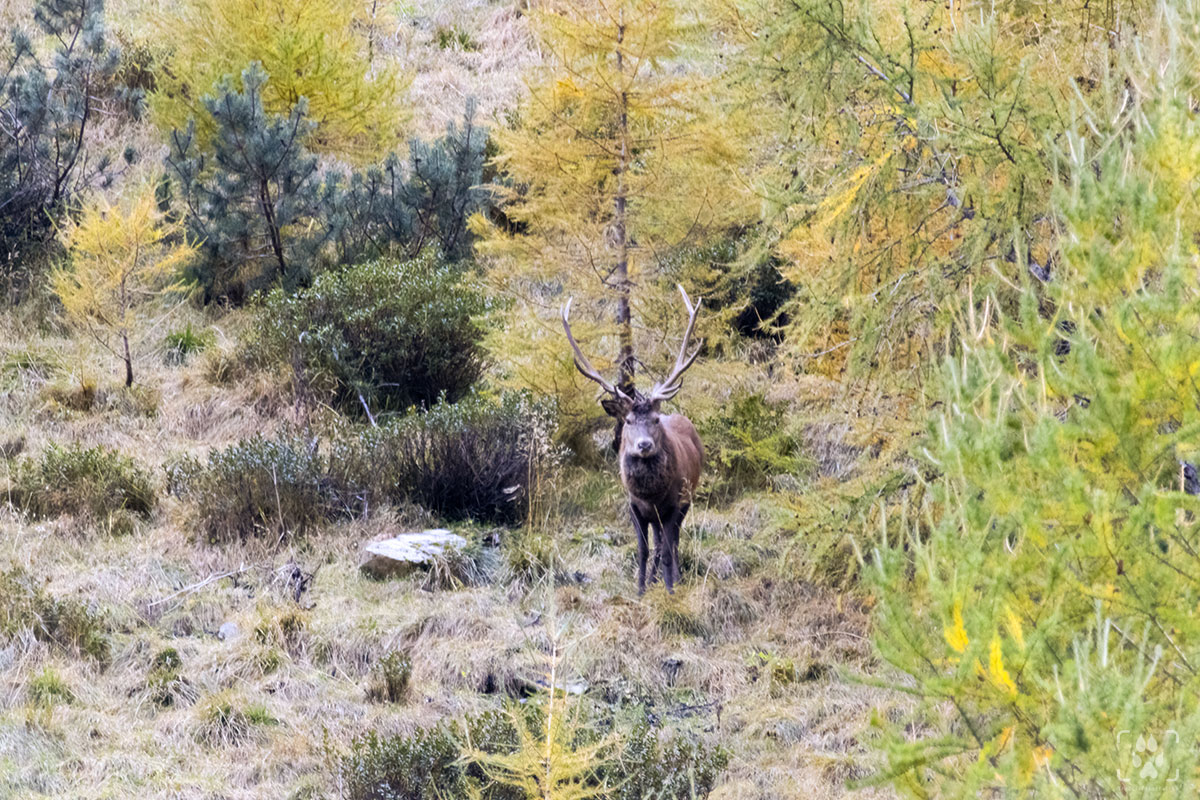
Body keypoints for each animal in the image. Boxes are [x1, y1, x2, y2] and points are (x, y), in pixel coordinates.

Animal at [562, 285, 704, 595]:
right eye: (627, 421)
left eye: (655, 420)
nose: (644, 445)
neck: (650, 494)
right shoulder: (635, 508)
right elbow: (643, 550)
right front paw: (640, 591)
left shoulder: (673, 504)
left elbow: (667, 549)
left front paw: (670, 591)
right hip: (656, 516)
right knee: (660, 542)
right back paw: (653, 580)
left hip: (687, 498)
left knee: (673, 542)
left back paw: (674, 579)